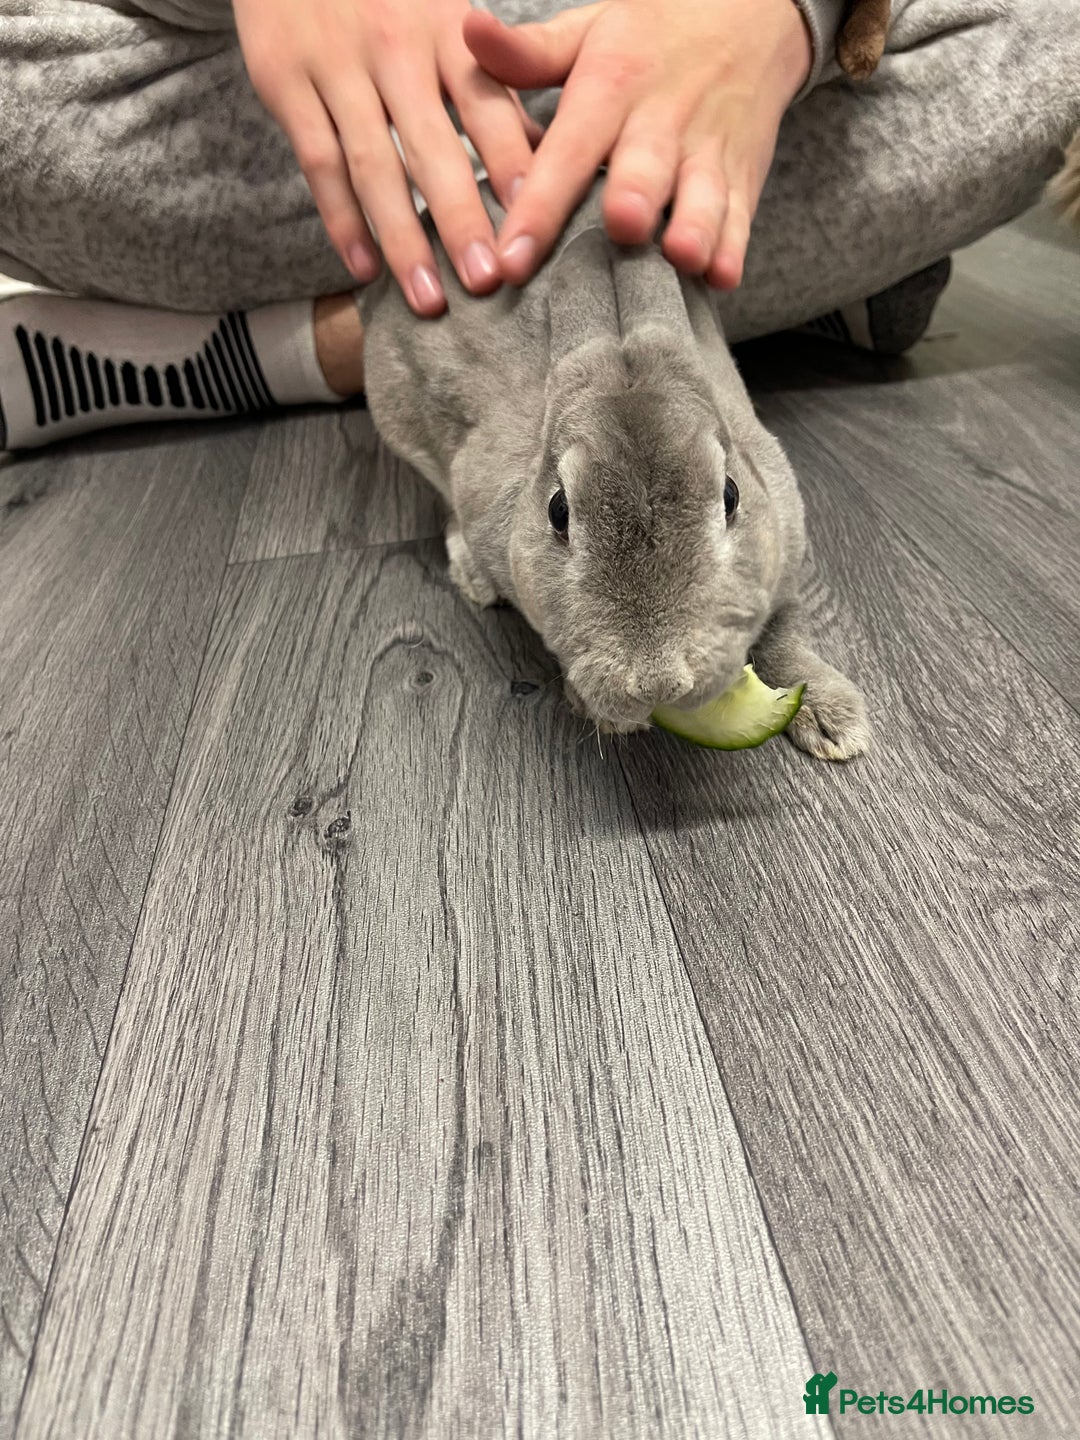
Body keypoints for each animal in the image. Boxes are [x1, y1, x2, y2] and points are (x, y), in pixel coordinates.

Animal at [357, 178, 870, 762]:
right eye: (558, 510)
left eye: (731, 496)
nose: (657, 682)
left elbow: (785, 629)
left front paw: (833, 721)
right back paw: (475, 577)